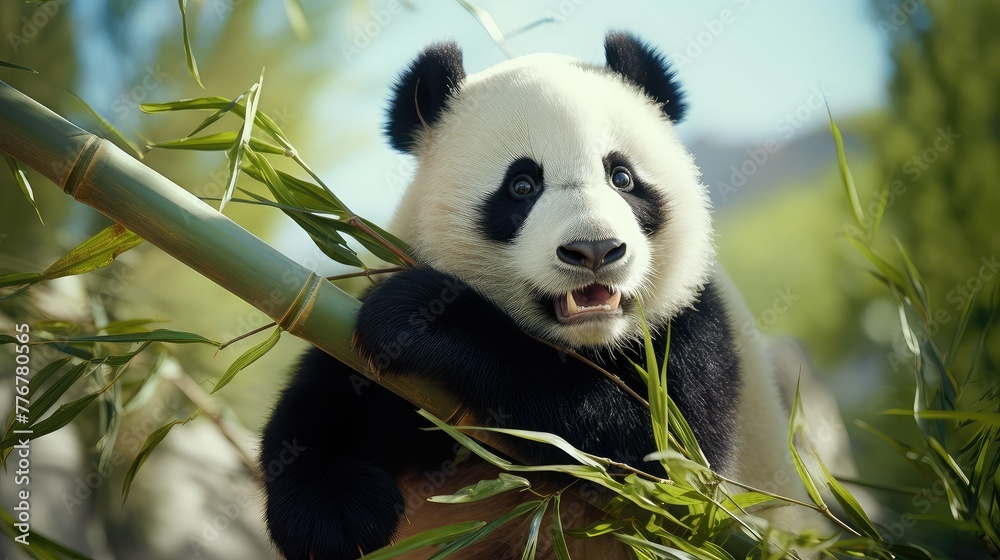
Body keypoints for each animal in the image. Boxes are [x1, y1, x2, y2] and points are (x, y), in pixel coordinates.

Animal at [260, 31, 824, 560]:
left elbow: (659, 461)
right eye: (522, 185)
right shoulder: (353, 327)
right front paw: (336, 515)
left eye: (622, 177)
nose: (595, 249)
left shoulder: (693, 327)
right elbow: (323, 405)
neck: (590, 345)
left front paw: (429, 321)